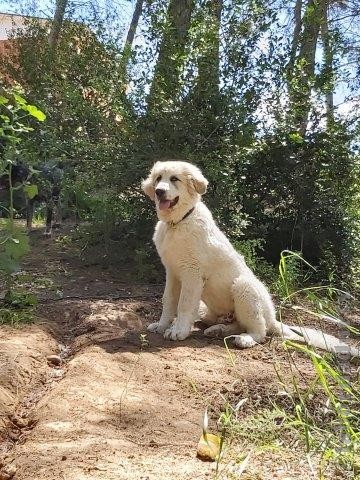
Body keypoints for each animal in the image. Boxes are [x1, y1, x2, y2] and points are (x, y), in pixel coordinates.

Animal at [143, 159, 358, 354]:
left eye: (174, 179)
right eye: (158, 179)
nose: (159, 191)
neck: (177, 223)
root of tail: (273, 319)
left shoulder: (192, 273)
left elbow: (184, 304)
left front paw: (178, 331)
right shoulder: (172, 272)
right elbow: (168, 301)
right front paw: (162, 326)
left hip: (244, 287)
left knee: (259, 331)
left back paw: (245, 339)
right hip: (210, 309)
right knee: (235, 323)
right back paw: (218, 329)